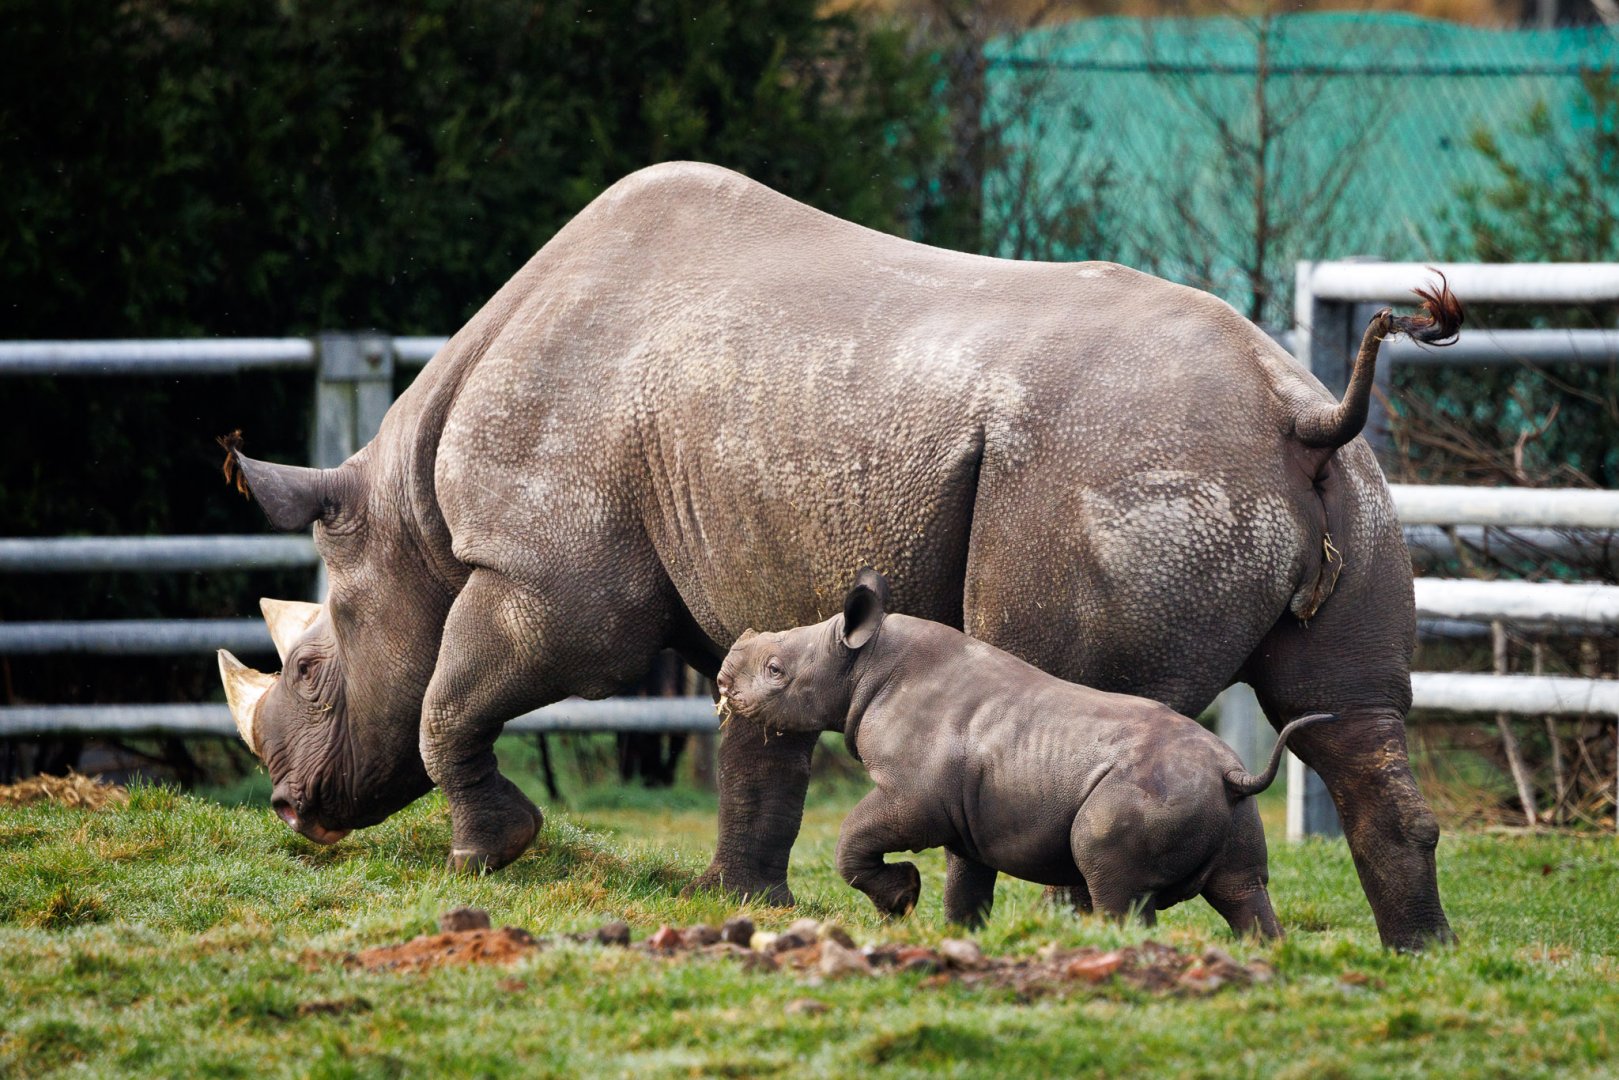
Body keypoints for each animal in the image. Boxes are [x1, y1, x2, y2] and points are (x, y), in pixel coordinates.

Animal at [216, 160, 1460, 949]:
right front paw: (740, 898)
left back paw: (1062, 931)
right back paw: (1416, 953)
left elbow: (448, 698)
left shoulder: (542, 574)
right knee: (1352, 721)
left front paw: (488, 859)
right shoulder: (744, 599)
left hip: (1123, 473)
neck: (410, 517)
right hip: (1342, 493)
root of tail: (1295, 414)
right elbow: (752, 751)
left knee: (1085, 691)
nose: (288, 810)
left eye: (313, 672)